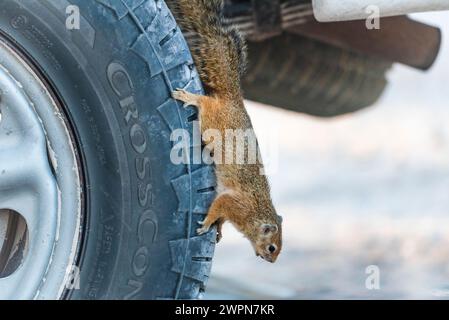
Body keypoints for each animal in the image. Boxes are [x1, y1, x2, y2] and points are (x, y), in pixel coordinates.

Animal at [166, 0, 282, 262]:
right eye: (272, 247)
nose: (269, 260)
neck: (256, 214)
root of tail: (233, 98)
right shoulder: (234, 204)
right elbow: (218, 207)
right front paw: (207, 223)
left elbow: (220, 215)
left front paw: (217, 229)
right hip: (211, 120)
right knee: (204, 103)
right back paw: (190, 97)